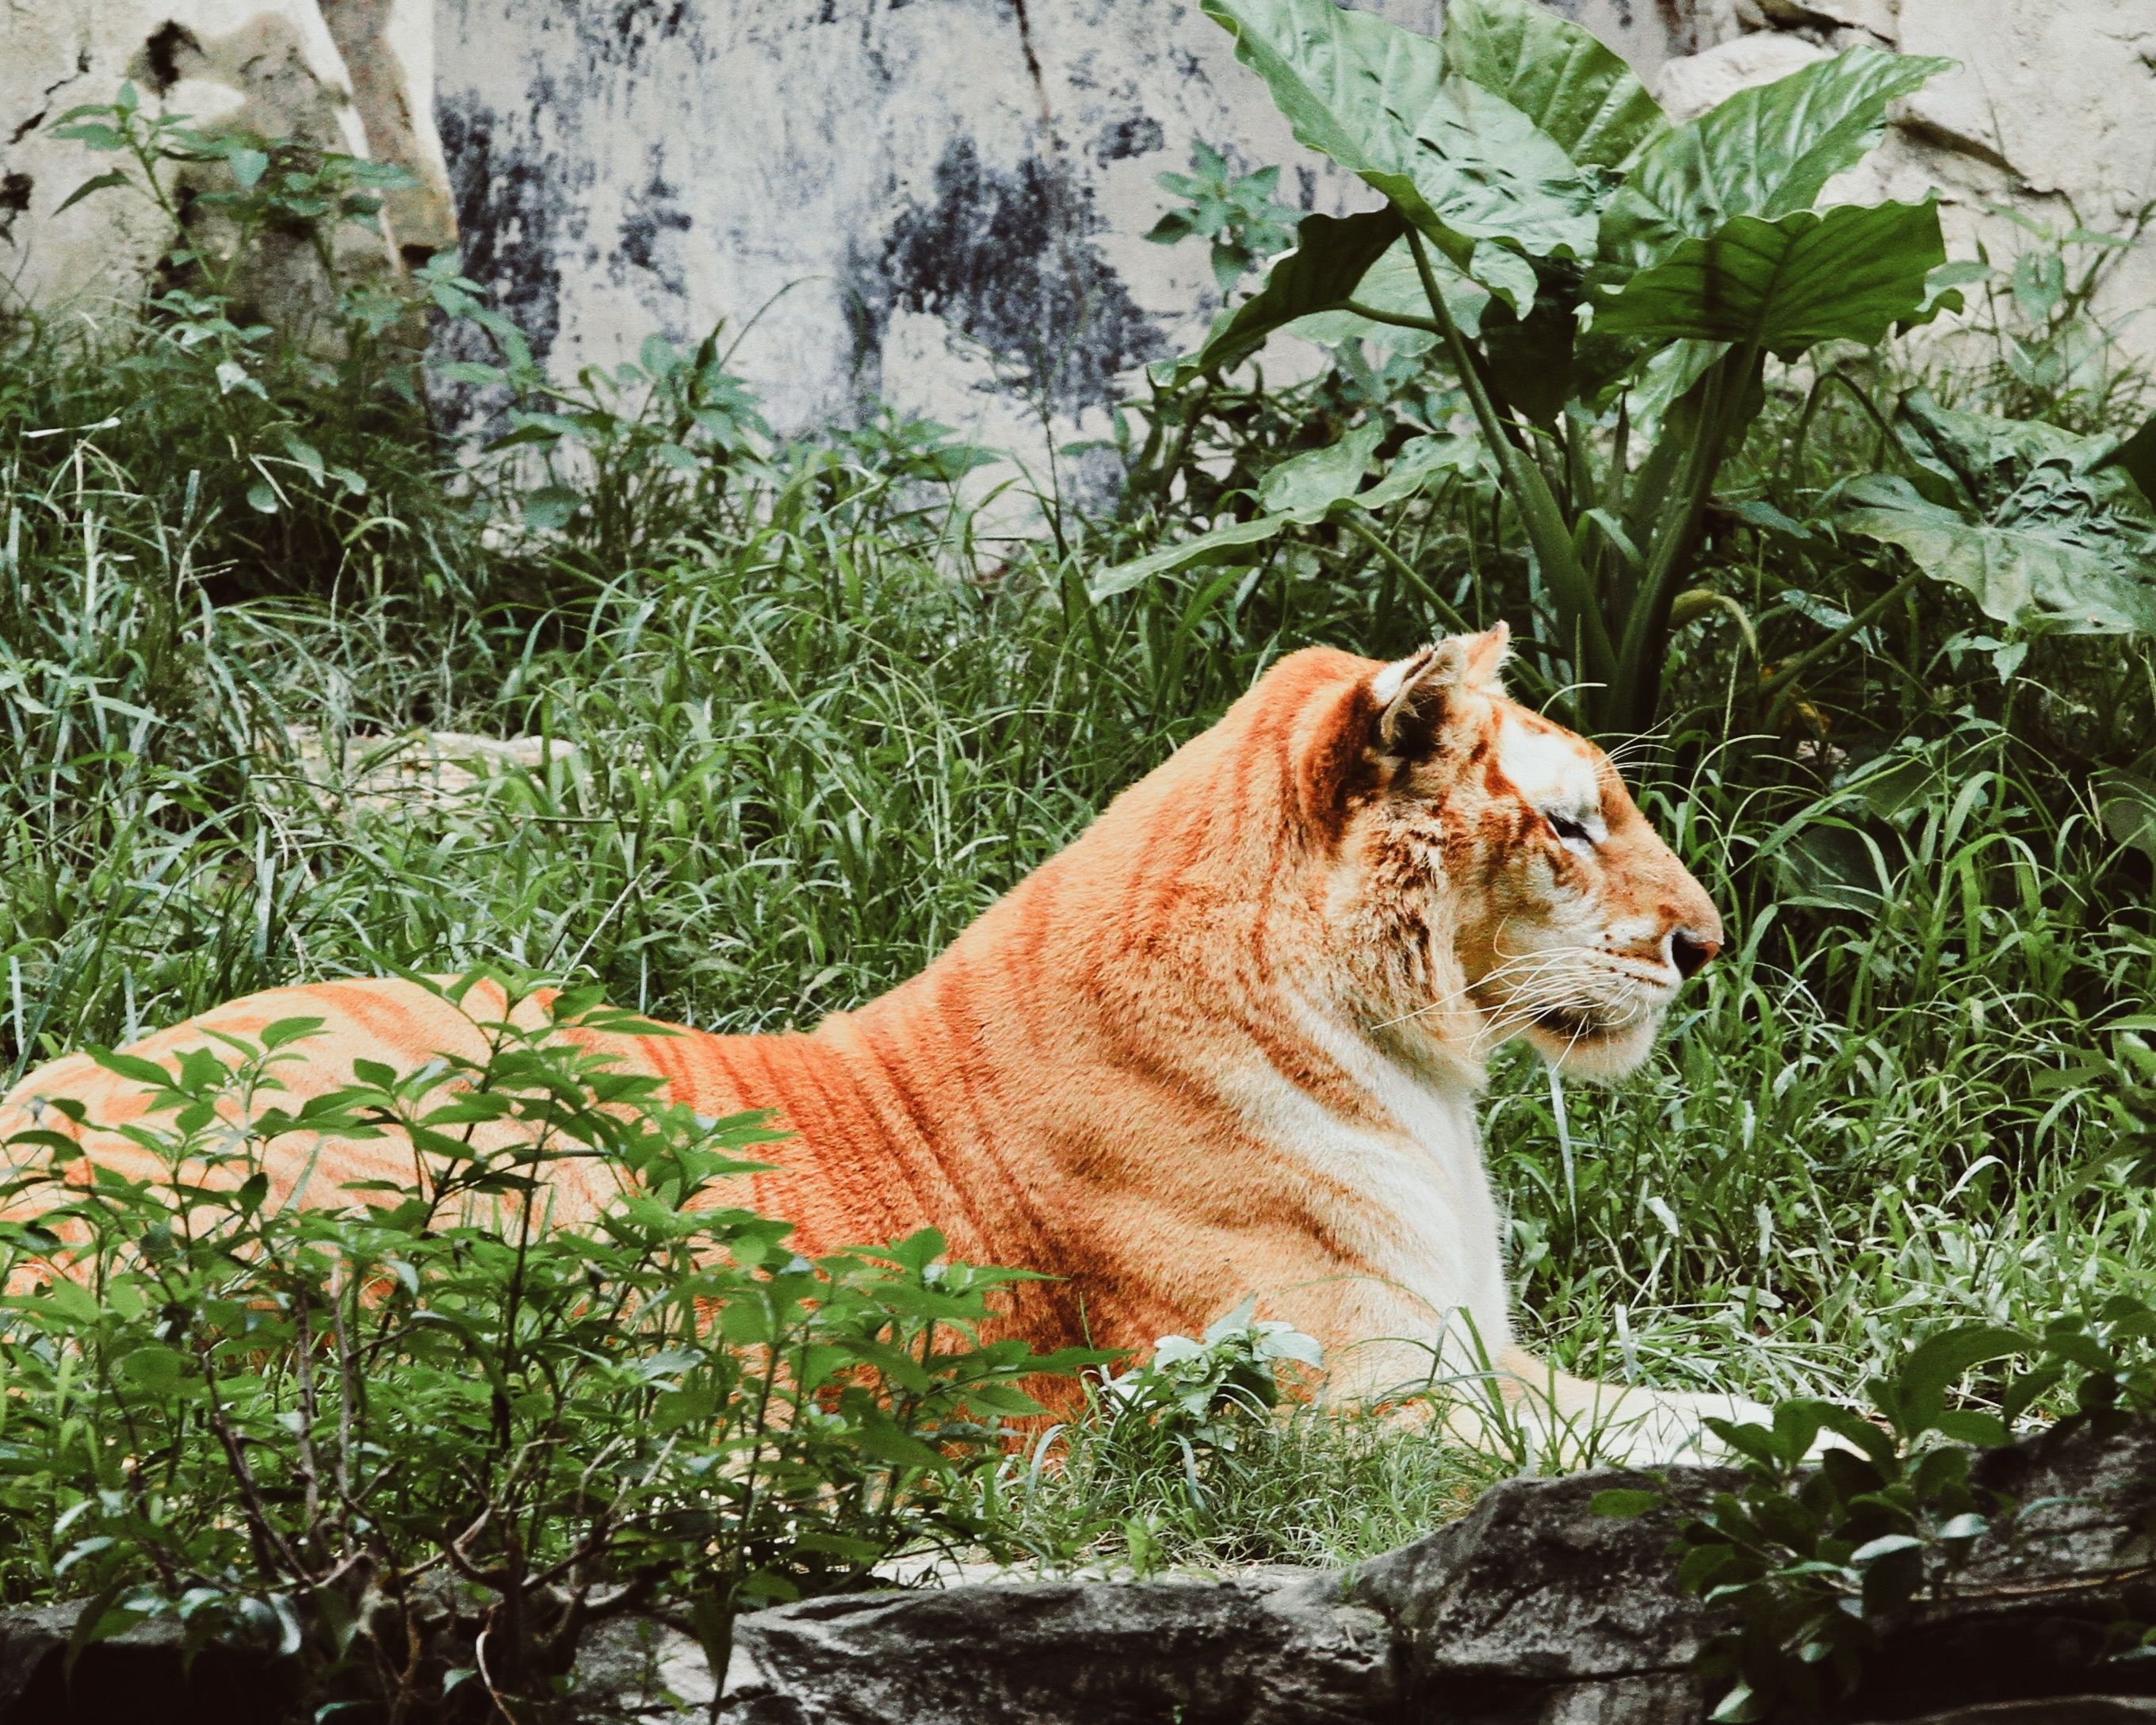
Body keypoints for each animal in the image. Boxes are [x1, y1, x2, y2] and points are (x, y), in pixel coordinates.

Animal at [0, 624, 1769, 1460]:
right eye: (1568, 821)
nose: (1706, 941)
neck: (1413, 1066)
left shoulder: (1475, 1353)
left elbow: (1694, 1406)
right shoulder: (1363, 1403)